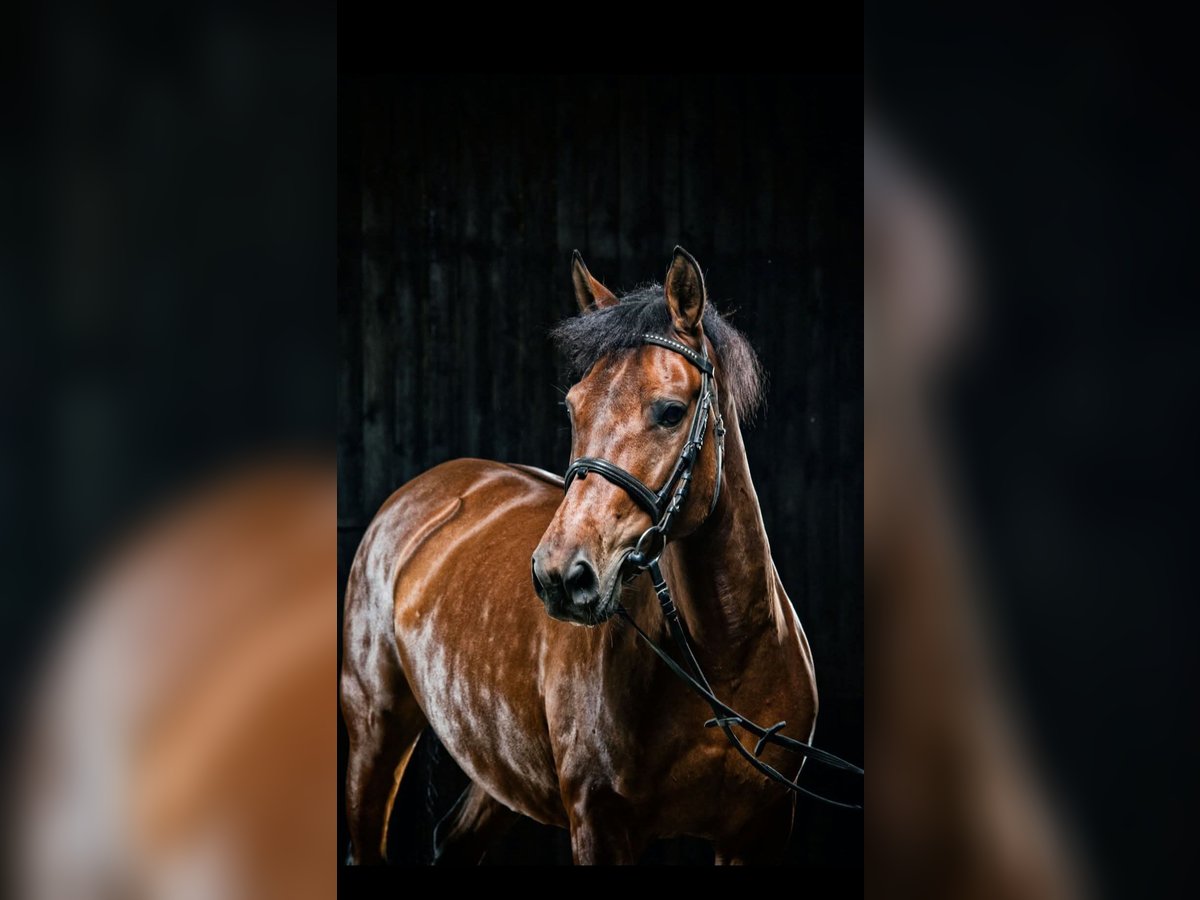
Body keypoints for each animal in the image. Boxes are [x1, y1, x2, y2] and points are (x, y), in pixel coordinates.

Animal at [343, 248, 820, 868]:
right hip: (373, 735)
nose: (559, 576)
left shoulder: (758, 833)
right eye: (574, 408)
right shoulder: (598, 824)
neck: (724, 660)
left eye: (671, 412)